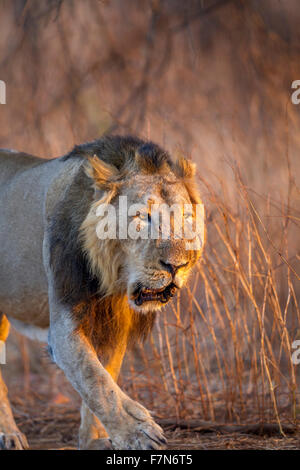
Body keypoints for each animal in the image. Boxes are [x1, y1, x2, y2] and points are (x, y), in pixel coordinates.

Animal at [0, 135, 204, 448]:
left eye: (185, 216)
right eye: (142, 217)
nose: (177, 265)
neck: (114, 279)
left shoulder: (116, 324)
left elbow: (105, 375)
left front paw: (94, 440)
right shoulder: (64, 326)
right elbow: (95, 379)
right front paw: (139, 432)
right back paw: (10, 434)